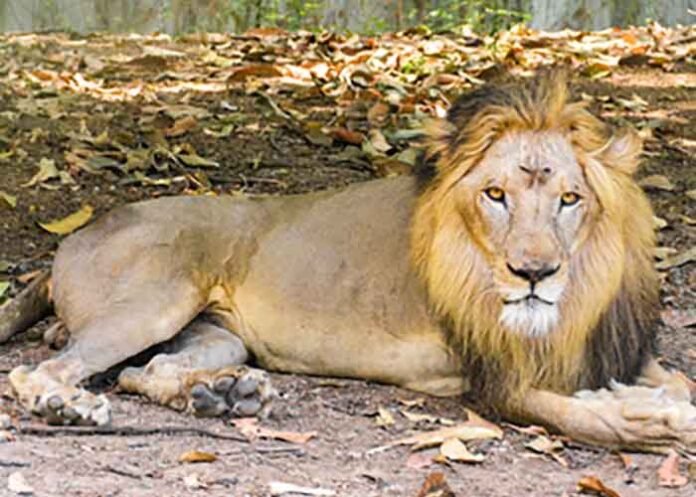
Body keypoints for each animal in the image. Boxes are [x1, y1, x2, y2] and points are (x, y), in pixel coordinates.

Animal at [1, 71, 694, 452]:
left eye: (569, 200)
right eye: (495, 195)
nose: (534, 275)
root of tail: (72, 238)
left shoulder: (610, 347)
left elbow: (674, 380)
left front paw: (660, 399)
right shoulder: (496, 377)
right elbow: (592, 418)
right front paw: (654, 418)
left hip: (217, 336)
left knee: (143, 373)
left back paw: (224, 396)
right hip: (153, 300)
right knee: (42, 371)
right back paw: (69, 407)